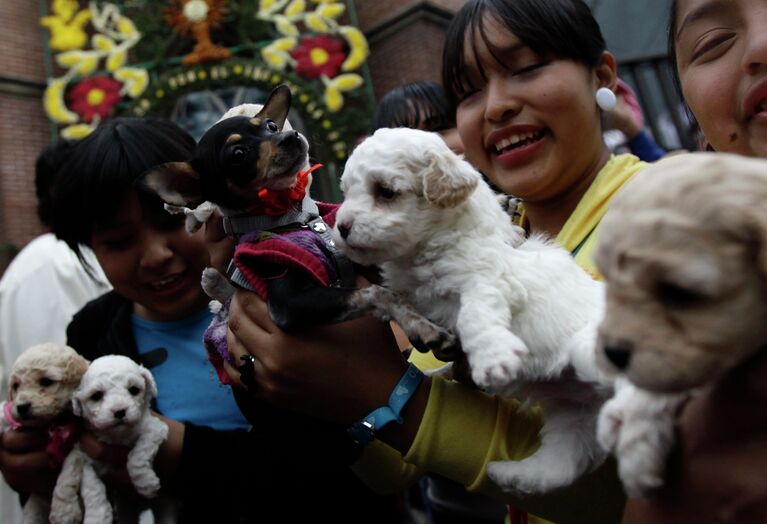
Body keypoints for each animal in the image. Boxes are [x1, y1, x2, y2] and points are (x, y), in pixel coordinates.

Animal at [0, 344, 88, 524]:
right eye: (16, 385)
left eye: (46, 381)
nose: (21, 407)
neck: (51, 425)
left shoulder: (78, 443)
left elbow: (69, 472)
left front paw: (64, 512)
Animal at [51, 354, 171, 524]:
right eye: (97, 395)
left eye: (134, 390)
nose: (120, 411)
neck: (116, 435)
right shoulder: (87, 456)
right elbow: (93, 487)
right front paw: (97, 517)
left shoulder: (154, 429)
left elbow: (137, 455)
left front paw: (145, 483)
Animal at [332, 128, 616, 496]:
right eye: (346, 192)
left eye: (386, 192)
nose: (341, 227)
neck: (421, 251)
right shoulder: (412, 293)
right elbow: (388, 297)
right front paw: (419, 331)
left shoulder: (485, 281)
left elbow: (472, 316)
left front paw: (493, 360)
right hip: (575, 417)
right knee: (562, 463)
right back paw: (511, 474)